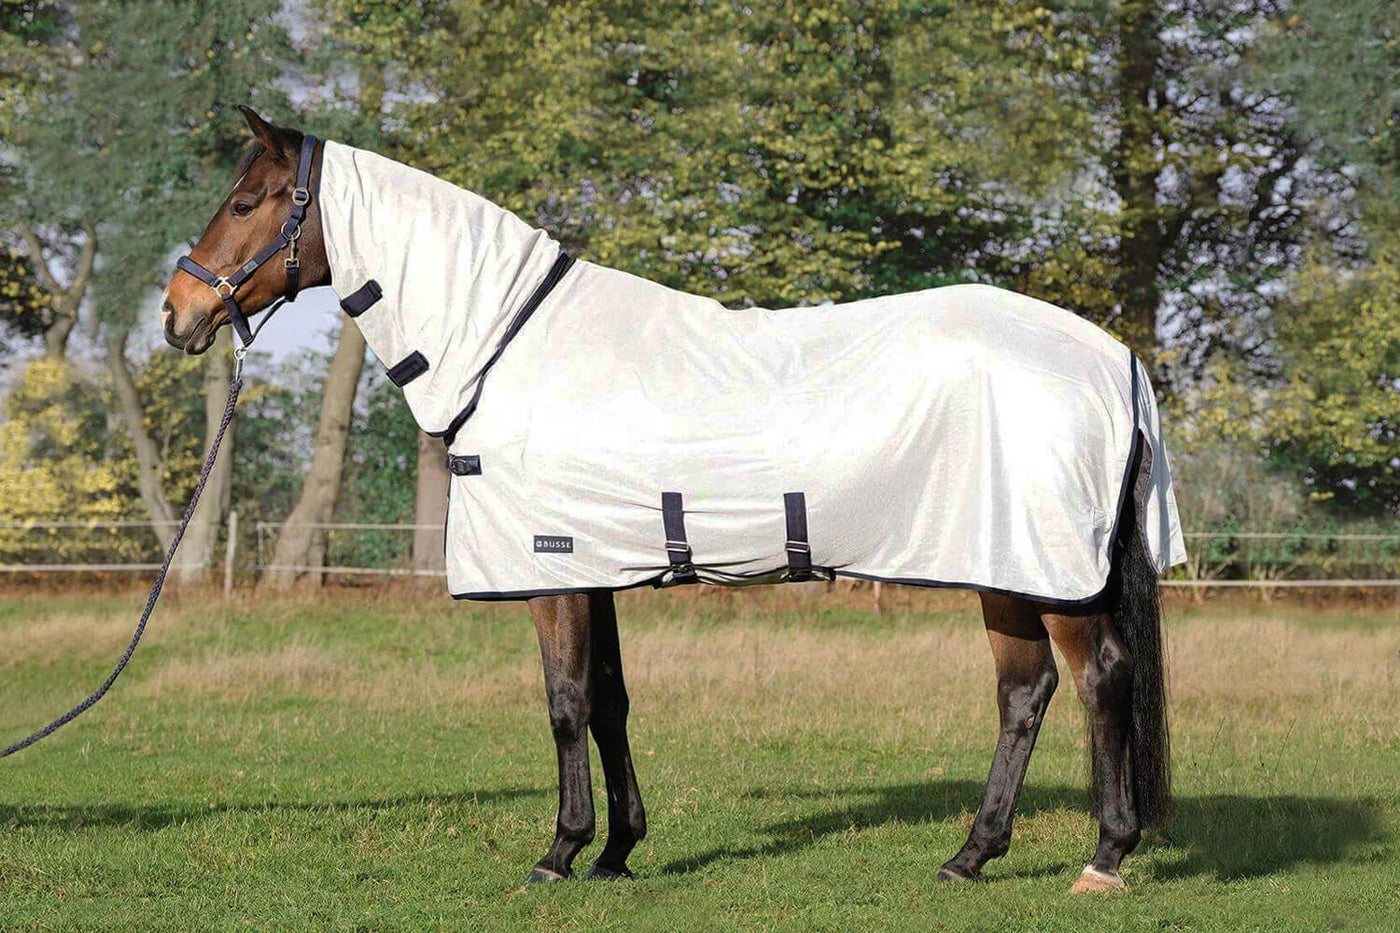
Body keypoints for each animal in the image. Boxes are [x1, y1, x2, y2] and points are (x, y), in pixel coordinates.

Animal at [163, 107, 1182, 893]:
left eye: (246, 202)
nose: (179, 312)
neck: (508, 344)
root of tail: (1113, 357)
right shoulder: (600, 566)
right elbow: (611, 699)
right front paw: (618, 849)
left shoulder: (552, 568)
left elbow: (566, 700)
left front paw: (560, 852)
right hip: (1001, 564)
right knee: (1025, 692)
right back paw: (971, 855)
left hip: (1046, 569)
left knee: (1099, 678)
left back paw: (1105, 855)